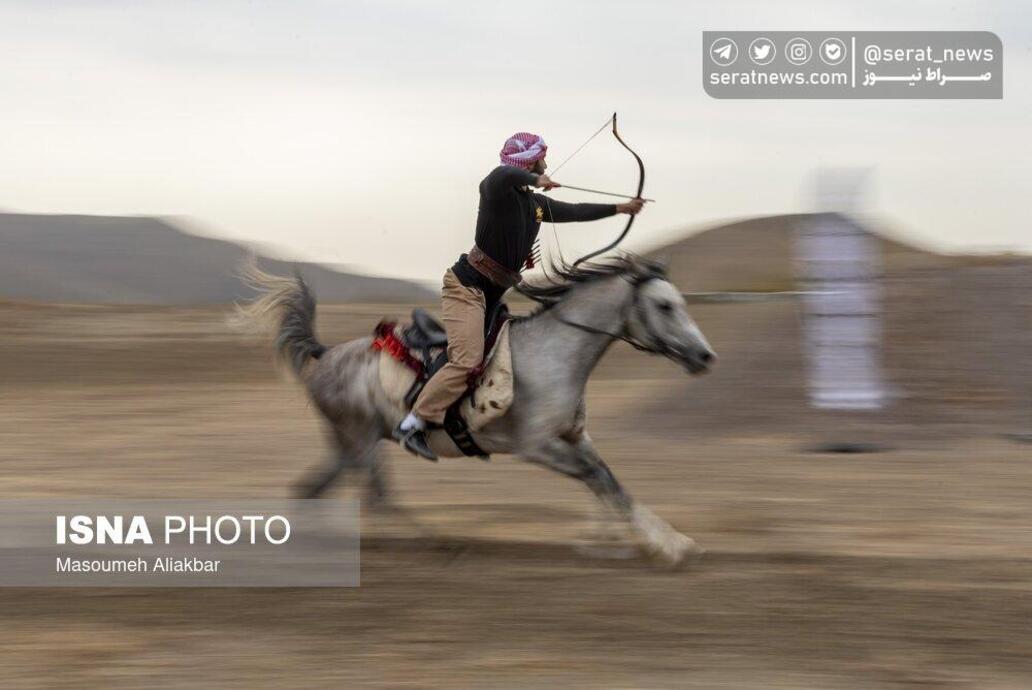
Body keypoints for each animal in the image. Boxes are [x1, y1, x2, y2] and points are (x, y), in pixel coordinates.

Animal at [237, 255, 716, 565]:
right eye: (664, 305)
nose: (705, 356)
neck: (551, 354)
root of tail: (325, 353)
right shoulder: (537, 447)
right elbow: (599, 479)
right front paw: (658, 545)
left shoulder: (574, 436)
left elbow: (608, 481)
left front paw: (626, 540)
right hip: (359, 441)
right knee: (376, 498)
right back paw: (435, 542)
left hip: (350, 443)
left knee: (314, 490)